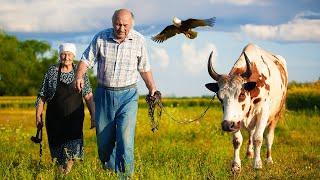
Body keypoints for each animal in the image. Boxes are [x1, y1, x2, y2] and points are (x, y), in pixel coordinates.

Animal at [205, 43, 290, 173]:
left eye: (241, 94)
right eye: (220, 97)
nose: (226, 125)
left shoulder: (263, 113)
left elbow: (258, 138)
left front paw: (257, 164)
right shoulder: (235, 120)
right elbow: (237, 140)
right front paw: (236, 166)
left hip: (276, 114)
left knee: (269, 137)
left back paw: (268, 160)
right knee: (251, 133)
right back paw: (249, 154)